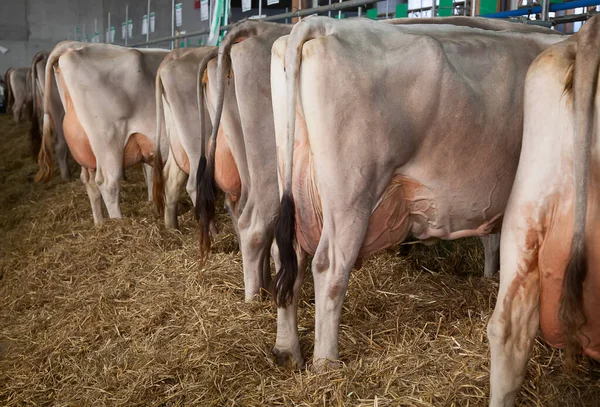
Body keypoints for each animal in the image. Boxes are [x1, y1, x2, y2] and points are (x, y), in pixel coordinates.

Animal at [36, 41, 168, 225]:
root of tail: (71, 46)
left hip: (87, 147)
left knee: (89, 182)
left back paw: (99, 224)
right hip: (109, 140)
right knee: (108, 183)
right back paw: (117, 224)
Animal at [270, 16, 564, 372]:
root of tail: (322, 24)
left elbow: (492, 243)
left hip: (293, 177)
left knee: (288, 256)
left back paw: (287, 351)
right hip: (352, 193)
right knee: (329, 266)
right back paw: (327, 364)